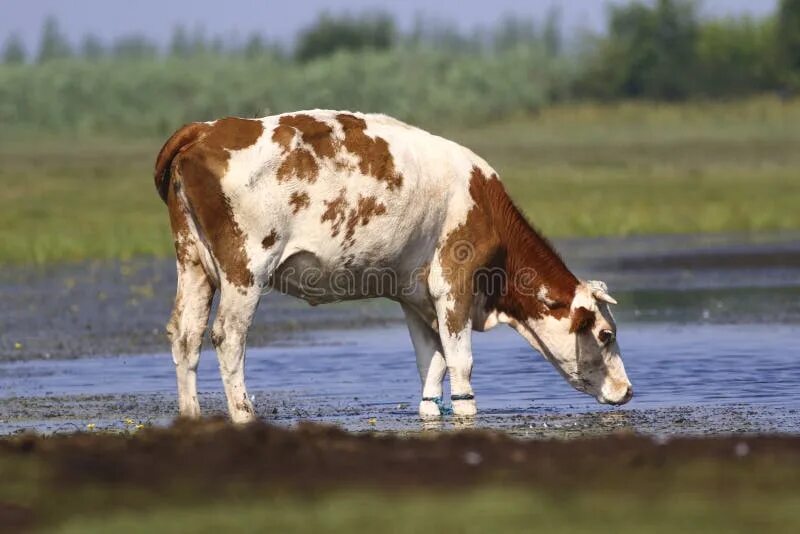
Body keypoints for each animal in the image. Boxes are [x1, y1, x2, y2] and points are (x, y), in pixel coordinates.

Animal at [155, 111, 632, 426]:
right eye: (606, 335)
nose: (628, 391)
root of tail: (207, 128)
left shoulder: (414, 296)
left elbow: (431, 363)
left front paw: (429, 411)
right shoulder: (453, 282)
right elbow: (460, 362)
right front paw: (467, 411)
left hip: (192, 261)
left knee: (186, 334)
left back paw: (191, 417)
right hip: (246, 268)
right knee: (228, 336)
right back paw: (243, 414)